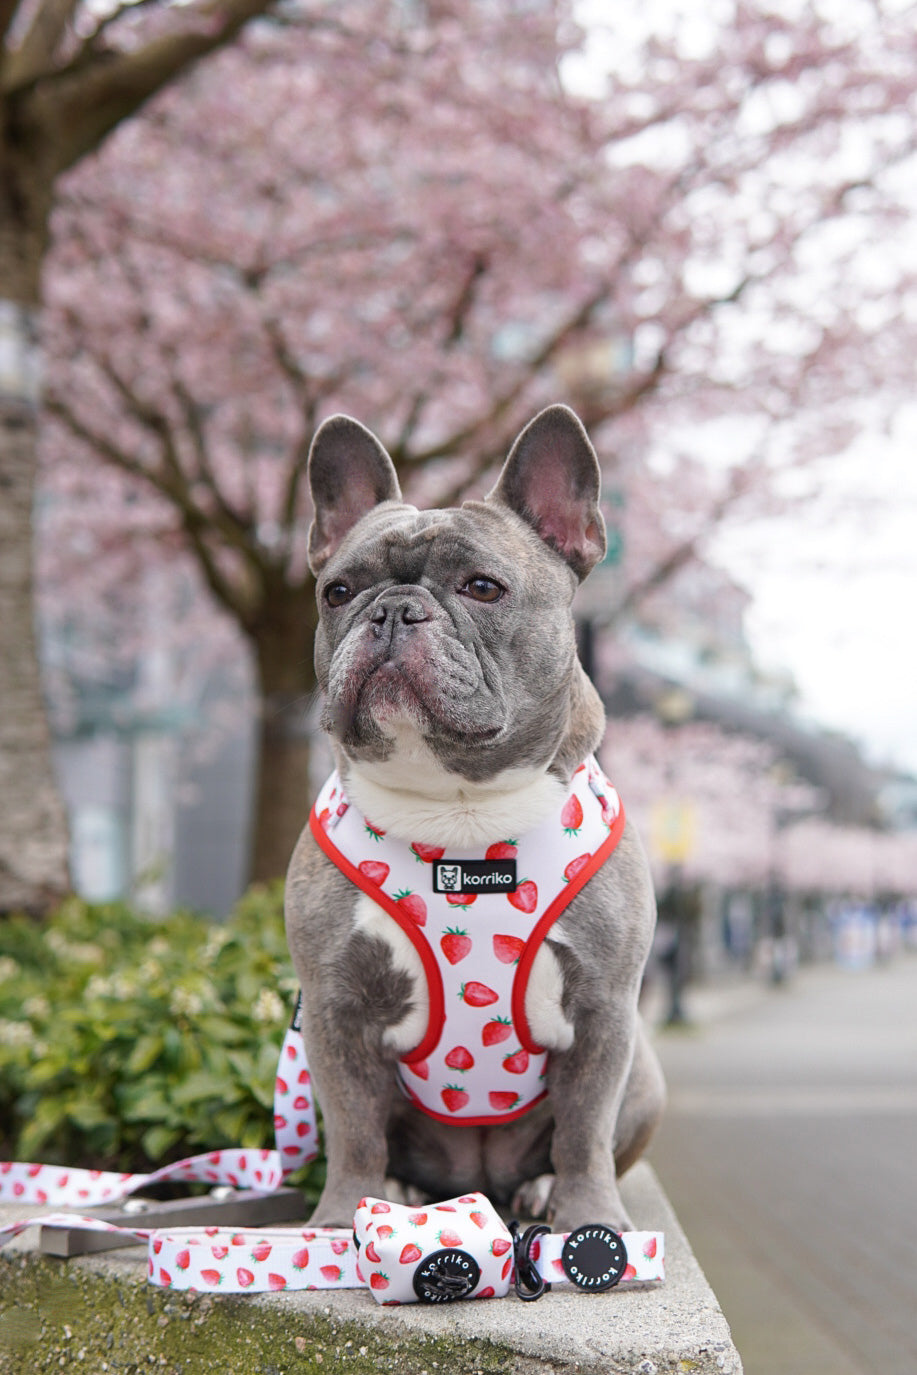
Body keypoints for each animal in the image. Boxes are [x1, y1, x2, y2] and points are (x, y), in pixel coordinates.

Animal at [283, 401, 662, 1232]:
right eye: (338, 590)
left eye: (482, 586)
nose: (392, 609)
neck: (457, 812)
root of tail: (479, 1182)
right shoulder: (333, 1011)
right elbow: (353, 1130)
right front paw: (340, 1220)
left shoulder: (604, 1012)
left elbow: (584, 1129)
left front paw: (589, 1219)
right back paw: (397, 1195)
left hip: (645, 1072)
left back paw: (541, 1193)